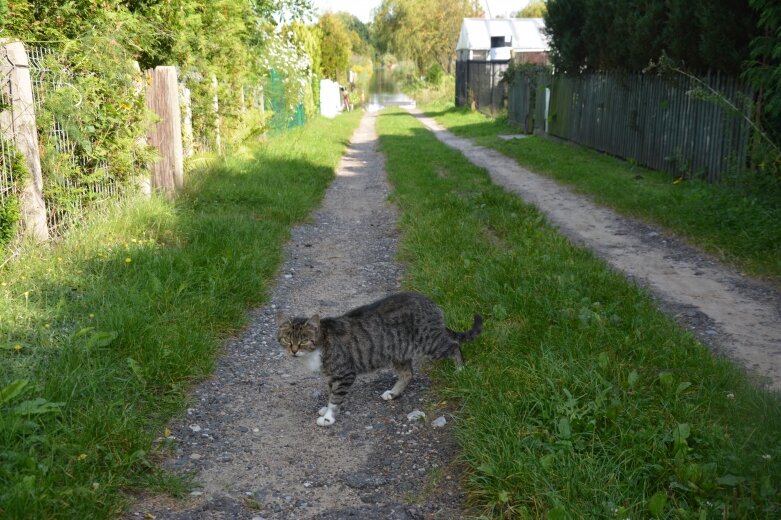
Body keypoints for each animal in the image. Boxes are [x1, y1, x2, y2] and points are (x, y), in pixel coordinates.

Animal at [274, 292, 482, 426]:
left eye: (303, 341)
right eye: (287, 340)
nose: (293, 351)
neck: (319, 346)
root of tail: (431, 303)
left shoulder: (344, 373)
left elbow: (335, 397)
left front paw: (328, 418)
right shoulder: (331, 376)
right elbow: (330, 393)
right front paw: (326, 409)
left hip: (430, 343)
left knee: (454, 345)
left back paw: (460, 369)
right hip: (399, 352)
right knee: (408, 373)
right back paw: (393, 393)